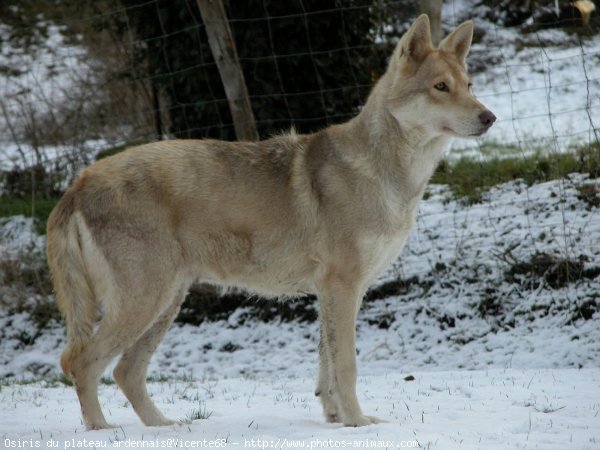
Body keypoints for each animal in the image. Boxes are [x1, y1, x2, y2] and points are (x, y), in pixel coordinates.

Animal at [47, 14, 496, 428]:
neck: (388, 174)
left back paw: (164, 428)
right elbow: (346, 367)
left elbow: (327, 371)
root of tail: (78, 183)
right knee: (81, 363)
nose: (490, 117)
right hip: (145, 302)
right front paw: (358, 423)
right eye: (441, 87)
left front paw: (337, 420)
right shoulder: (342, 287)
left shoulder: (333, 293)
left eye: (469, 85)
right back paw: (102, 431)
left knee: (126, 372)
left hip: (166, 302)